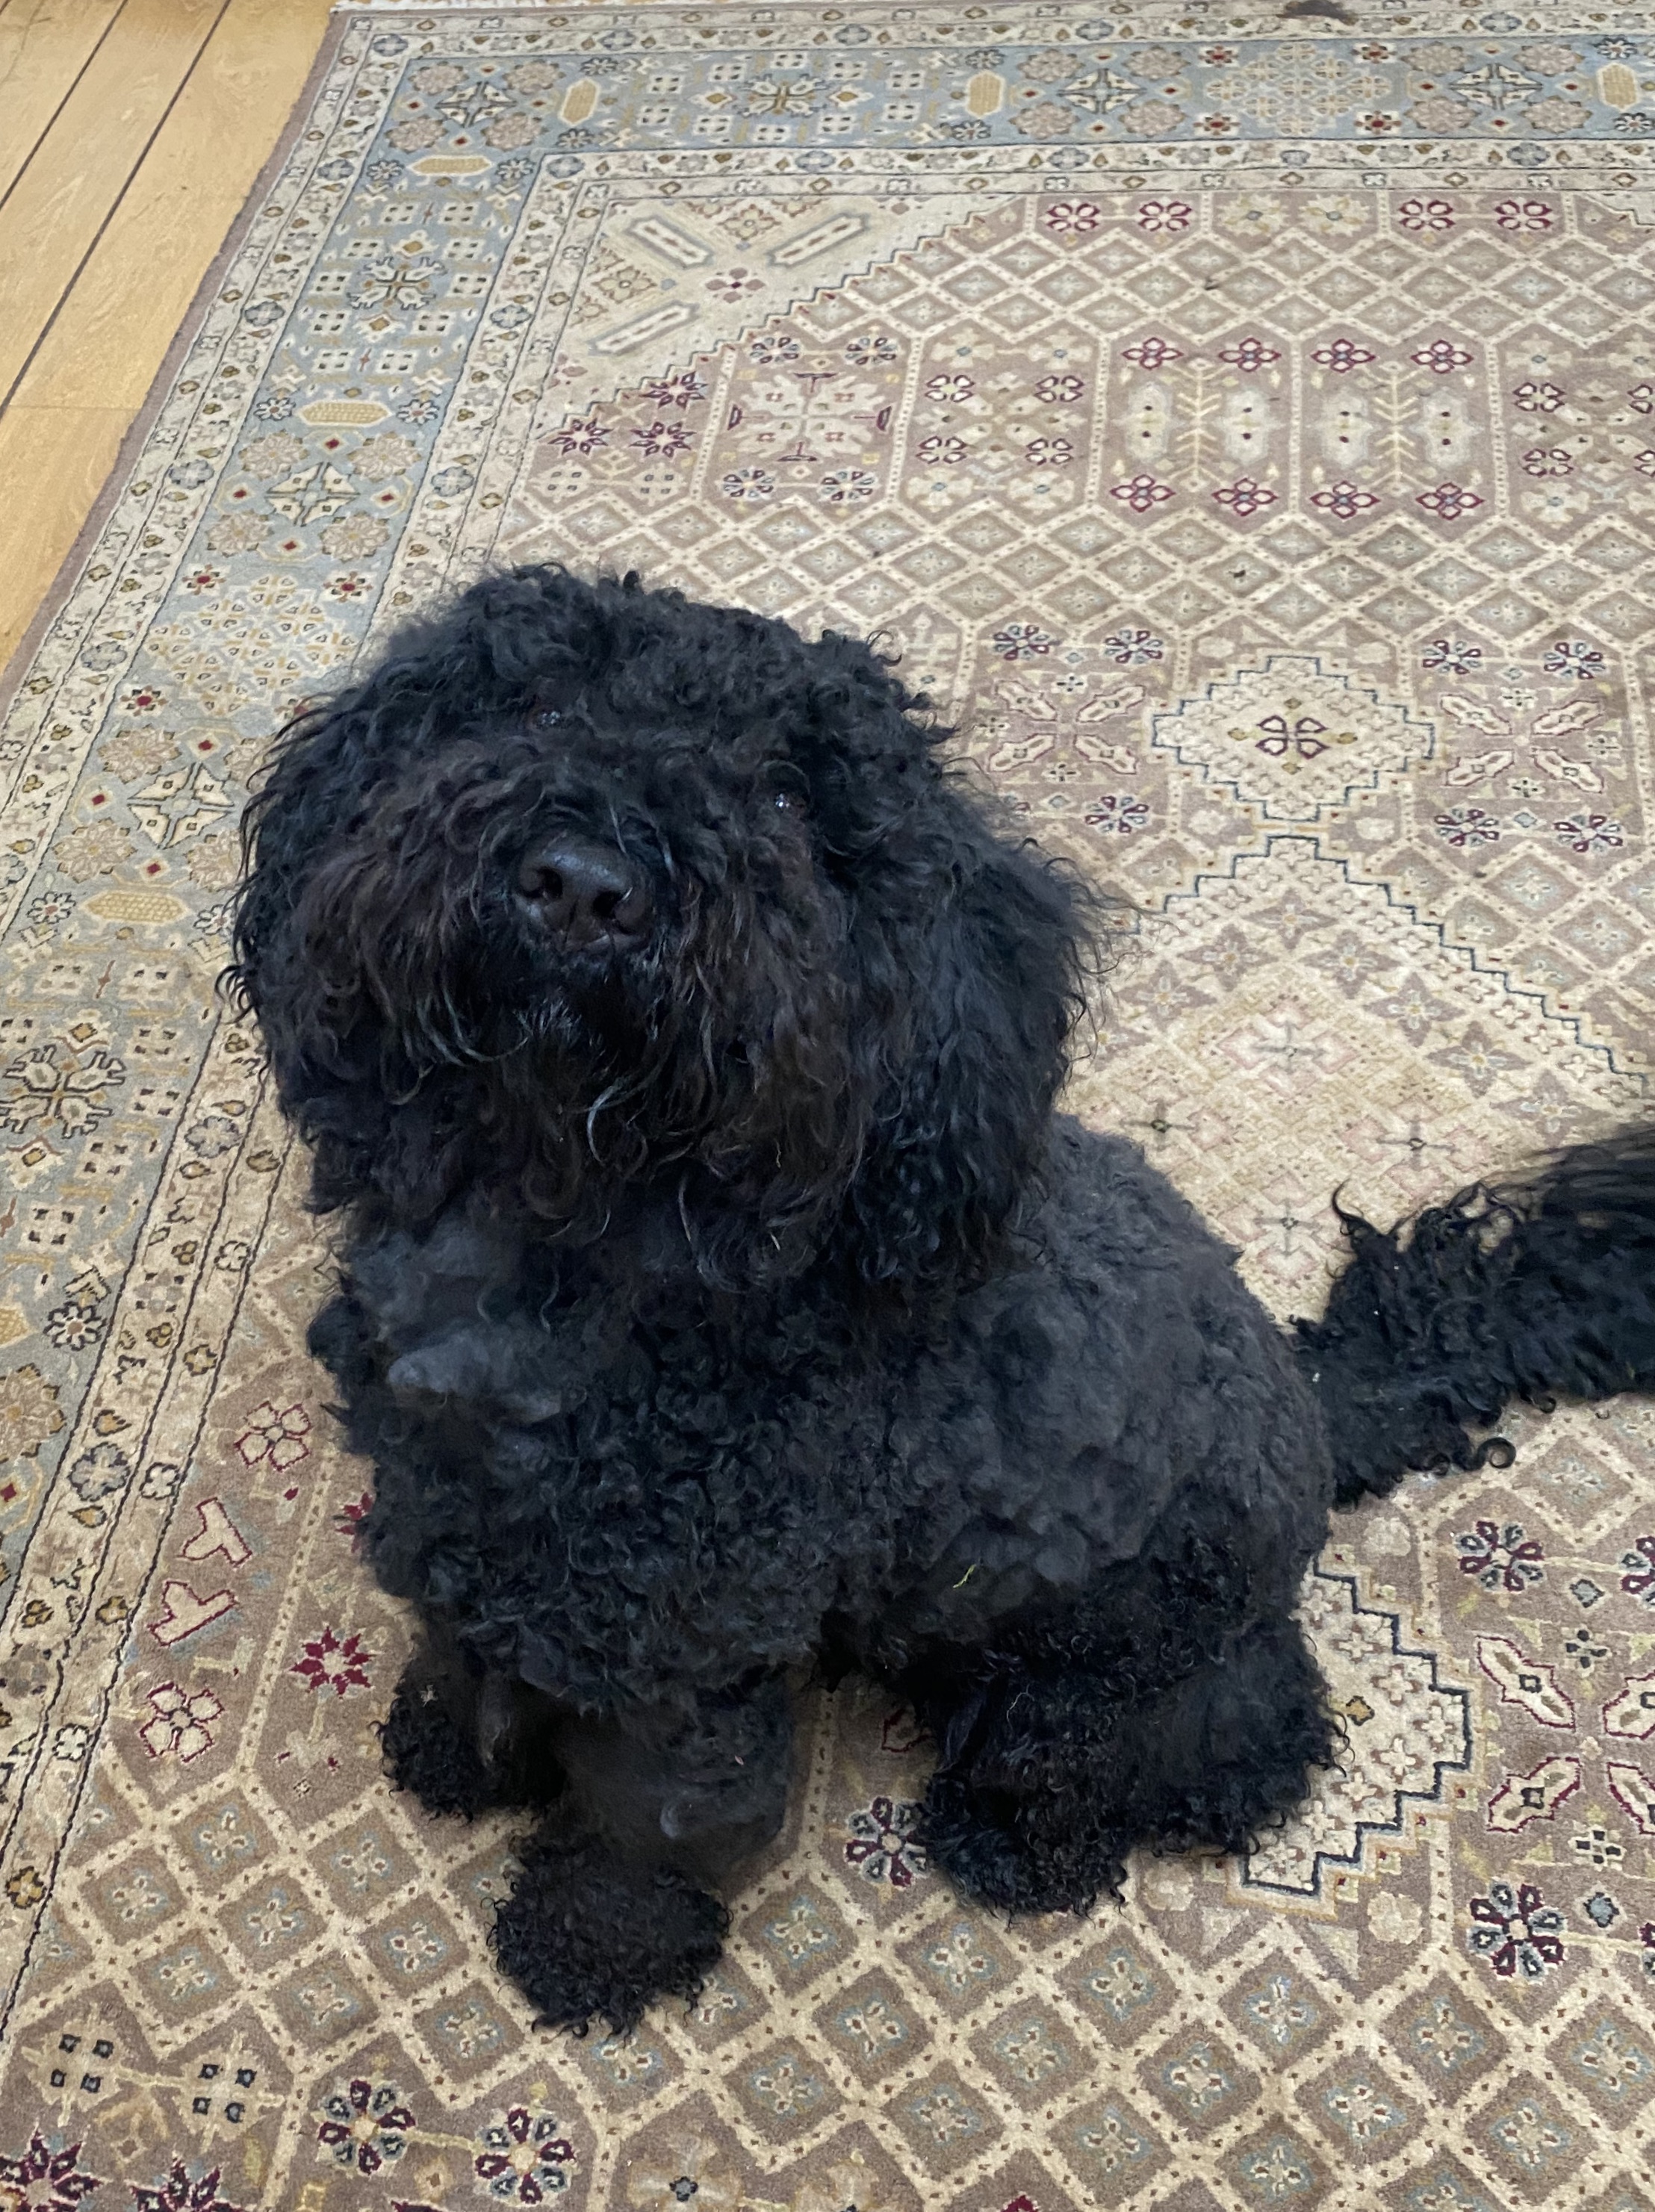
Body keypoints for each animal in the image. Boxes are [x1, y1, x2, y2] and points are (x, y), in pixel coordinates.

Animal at [232, 565, 1655, 2033]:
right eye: (538, 703)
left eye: (789, 802)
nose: (582, 883)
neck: (557, 1235)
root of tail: (1319, 1400)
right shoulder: (457, 1525)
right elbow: (463, 1652)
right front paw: (452, 1751)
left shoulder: (691, 1658)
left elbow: (649, 1825)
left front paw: (588, 1952)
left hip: (1102, 1673)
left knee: (1204, 1759)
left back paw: (1014, 1844)